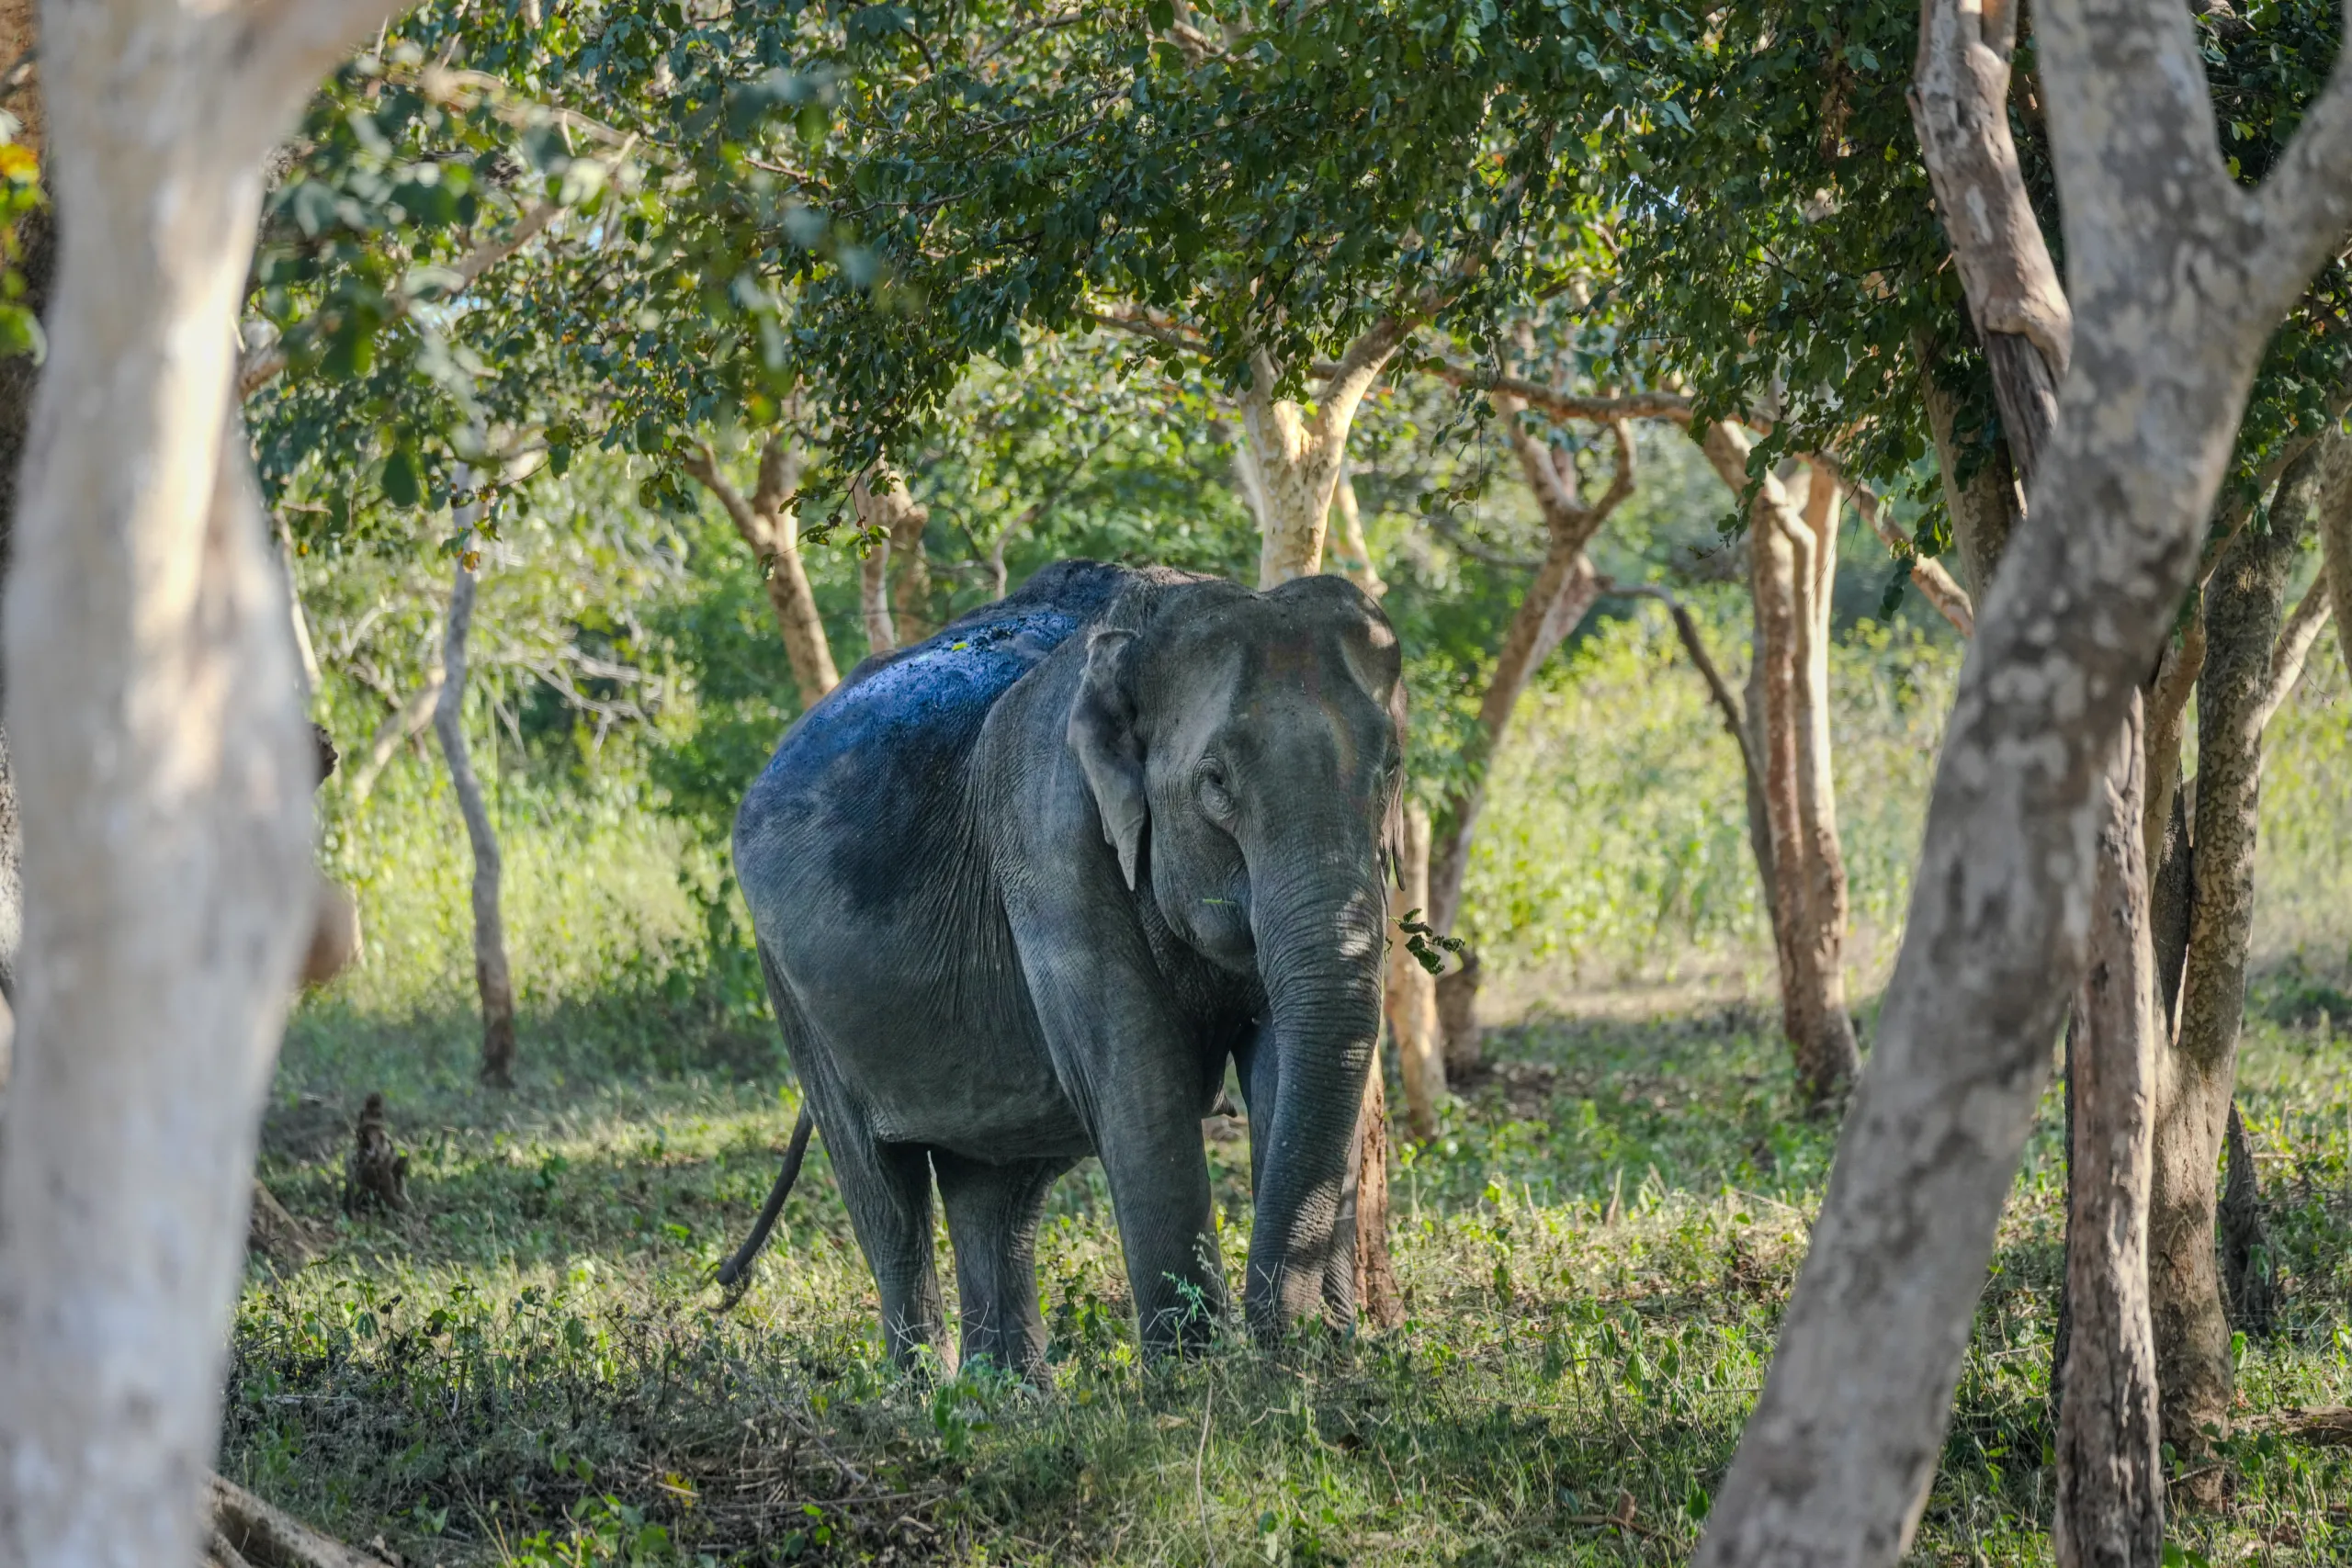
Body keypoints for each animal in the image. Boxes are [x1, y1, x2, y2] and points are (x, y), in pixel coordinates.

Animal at [722, 559, 1405, 1374]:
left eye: (1393, 768)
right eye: (1214, 782)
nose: (1301, 1335)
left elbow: (1280, 1055)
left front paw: (1316, 1366)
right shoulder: (1050, 842)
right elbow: (1142, 1086)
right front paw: (1197, 1382)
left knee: (995, 1189)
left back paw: (1003, 1397)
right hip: (792, 993)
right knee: (886, 1197)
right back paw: (921, 1391)